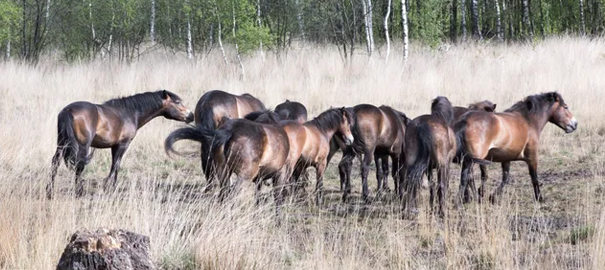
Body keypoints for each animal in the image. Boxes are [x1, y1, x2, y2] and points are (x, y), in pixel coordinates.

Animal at [48, 90, 192, 198]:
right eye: (178, 102)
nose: (191, 115)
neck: (130, 112)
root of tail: (68, 110)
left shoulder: (114, 146)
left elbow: (115, 165)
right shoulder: (123, 144)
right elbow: (116, 166)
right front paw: (109, 187)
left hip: (61, 144)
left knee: (55, 163)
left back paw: (50, 192)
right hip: (83, 145)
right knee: (79, 166)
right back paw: (79, 192)